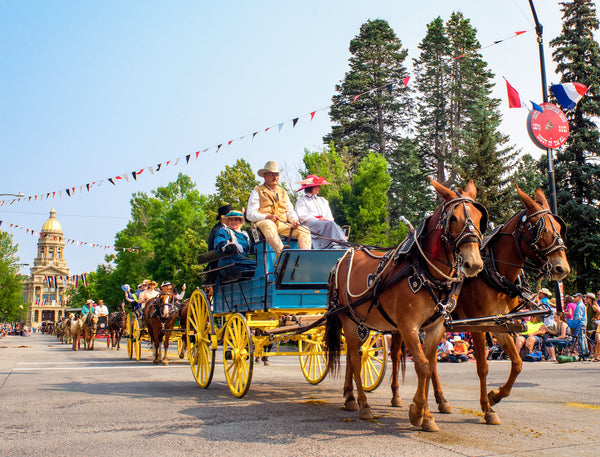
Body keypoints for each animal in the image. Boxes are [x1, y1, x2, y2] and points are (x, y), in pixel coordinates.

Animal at [324, 179, 488, 432]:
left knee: (354, 357)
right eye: (453, 218)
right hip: (349, 321)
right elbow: (423, 366)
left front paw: (424, 414)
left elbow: (429, 366)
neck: (424, 270)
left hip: (362, 323)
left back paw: (350, 398)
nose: (474, 263)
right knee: (355, 358)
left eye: (480, 218)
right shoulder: (408, 326)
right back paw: (364, 405)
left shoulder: (435, 328)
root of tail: (343, 257)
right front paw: (420, 413)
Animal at [386, 184, 568, 424]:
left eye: (560, 226)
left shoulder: (499, 323)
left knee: (430, 361)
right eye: (541, 228)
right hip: (401, 324)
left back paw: (441, 401)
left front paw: (495, 396)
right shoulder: (478, 325)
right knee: (396, 355)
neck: (495, 271)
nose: (562, 268)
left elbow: (517, 363)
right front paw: (488, 408)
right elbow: (482, 366)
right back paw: (396, 396)